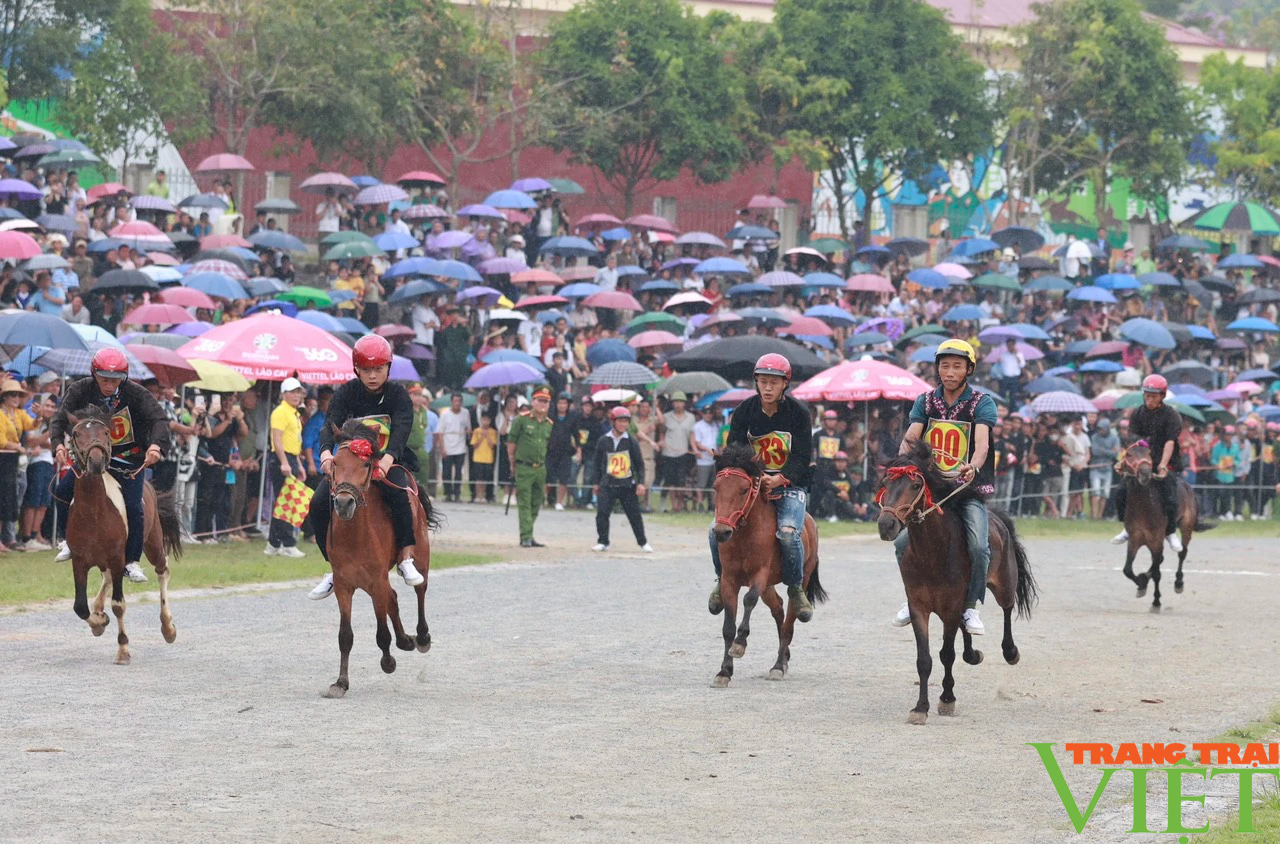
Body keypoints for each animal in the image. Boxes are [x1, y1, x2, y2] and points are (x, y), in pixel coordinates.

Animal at [64, 407, 183, 665]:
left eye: (106, 432)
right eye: (76, 434)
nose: (95, 462)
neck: (93, 511)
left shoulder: (118, 558)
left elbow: (118, 605)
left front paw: (123, 649)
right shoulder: (79, 560)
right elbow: (80, 607)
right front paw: (98, 621)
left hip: (152, 543)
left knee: (163, 570)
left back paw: (168, 628)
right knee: (106, 579)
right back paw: (99, 610)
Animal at [320, 417, 440, 701]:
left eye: (366, 464)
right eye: (336, 462)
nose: (343, 503)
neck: (354, 536)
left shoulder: (376, 581)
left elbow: (382, 632)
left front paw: (388, 661)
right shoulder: (344, 585)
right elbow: (345, 636)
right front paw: (340, 682)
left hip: (421, 556)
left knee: (420, 589)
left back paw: (421, 637)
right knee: (393, 597)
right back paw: (405, 640)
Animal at [706, 445, 824, 691]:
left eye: (743, 490)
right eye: (716, 487)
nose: (721, 532)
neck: (744, 534)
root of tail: (810, 523)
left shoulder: (759, 575)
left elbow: (749, 599)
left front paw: (740, 644)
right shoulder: (729, 579)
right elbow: (728, 627)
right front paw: (724, 672)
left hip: (800, 575)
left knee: (789, 620)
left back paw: (778, 666)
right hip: (769, 586)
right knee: (778, 609)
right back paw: (784, 658)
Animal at [875, 443, 1034, 727]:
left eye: (916, 485)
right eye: (885, 483)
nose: (886, 524)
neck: (933, 552)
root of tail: (998, 518)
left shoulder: (950, 607)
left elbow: (946, 654)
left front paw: (947, 699)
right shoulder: (919, 607)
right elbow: (924, 659)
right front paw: (920, 707)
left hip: (1004, 584)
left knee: (1006, 609)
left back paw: (1010, 651)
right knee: (966, 624)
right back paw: (973, 654)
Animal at [1116, 438, 1213, 609]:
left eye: (1149, 453)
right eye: (1128, 454)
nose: (1145, 473)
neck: (1143, 506)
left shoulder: (1156, 541)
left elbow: (1157, 572)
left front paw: (1156, 600)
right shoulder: (1135, 539)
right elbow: (1128, 569)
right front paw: (1141, 583)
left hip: (1186, 526)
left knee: (1182, 553)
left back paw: (1179, 582)